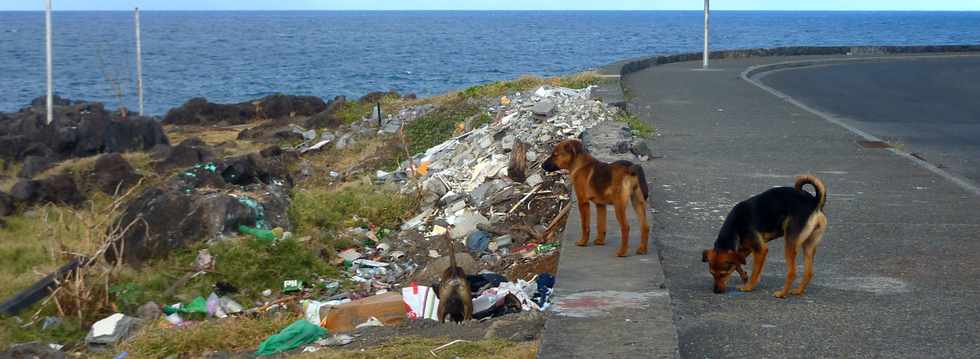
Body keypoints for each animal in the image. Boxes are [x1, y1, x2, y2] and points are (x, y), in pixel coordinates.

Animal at [700, 176, 832, 300]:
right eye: (712, 274)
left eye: (723, 274)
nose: (716, 291)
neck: (735, 225)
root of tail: (814, 202)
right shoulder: (745, 249)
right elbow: (737, 264)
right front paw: (744, 276)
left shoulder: (760, 250)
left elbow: (754, 271)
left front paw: (748, 286)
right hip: (809, 245)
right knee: (809, 272)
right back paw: (798, 291)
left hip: (790, 243)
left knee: (792, 272)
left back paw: (782, 294)